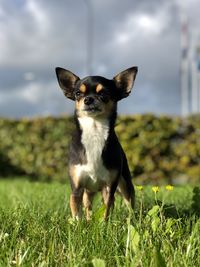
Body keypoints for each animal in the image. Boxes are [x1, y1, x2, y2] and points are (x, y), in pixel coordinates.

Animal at [55, 66, 138, 220]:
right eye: (78, 93)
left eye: (104, 93)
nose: (88, 99)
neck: (94, 131)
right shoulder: (77, 189)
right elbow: (77, 214)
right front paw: (79, 225)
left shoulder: (109, 188)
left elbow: (106, 211)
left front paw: (105, 225)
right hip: (88, 191)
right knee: (88, 207)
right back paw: (88, 220)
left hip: (124, 184)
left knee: (129, 203)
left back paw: (133, 220)